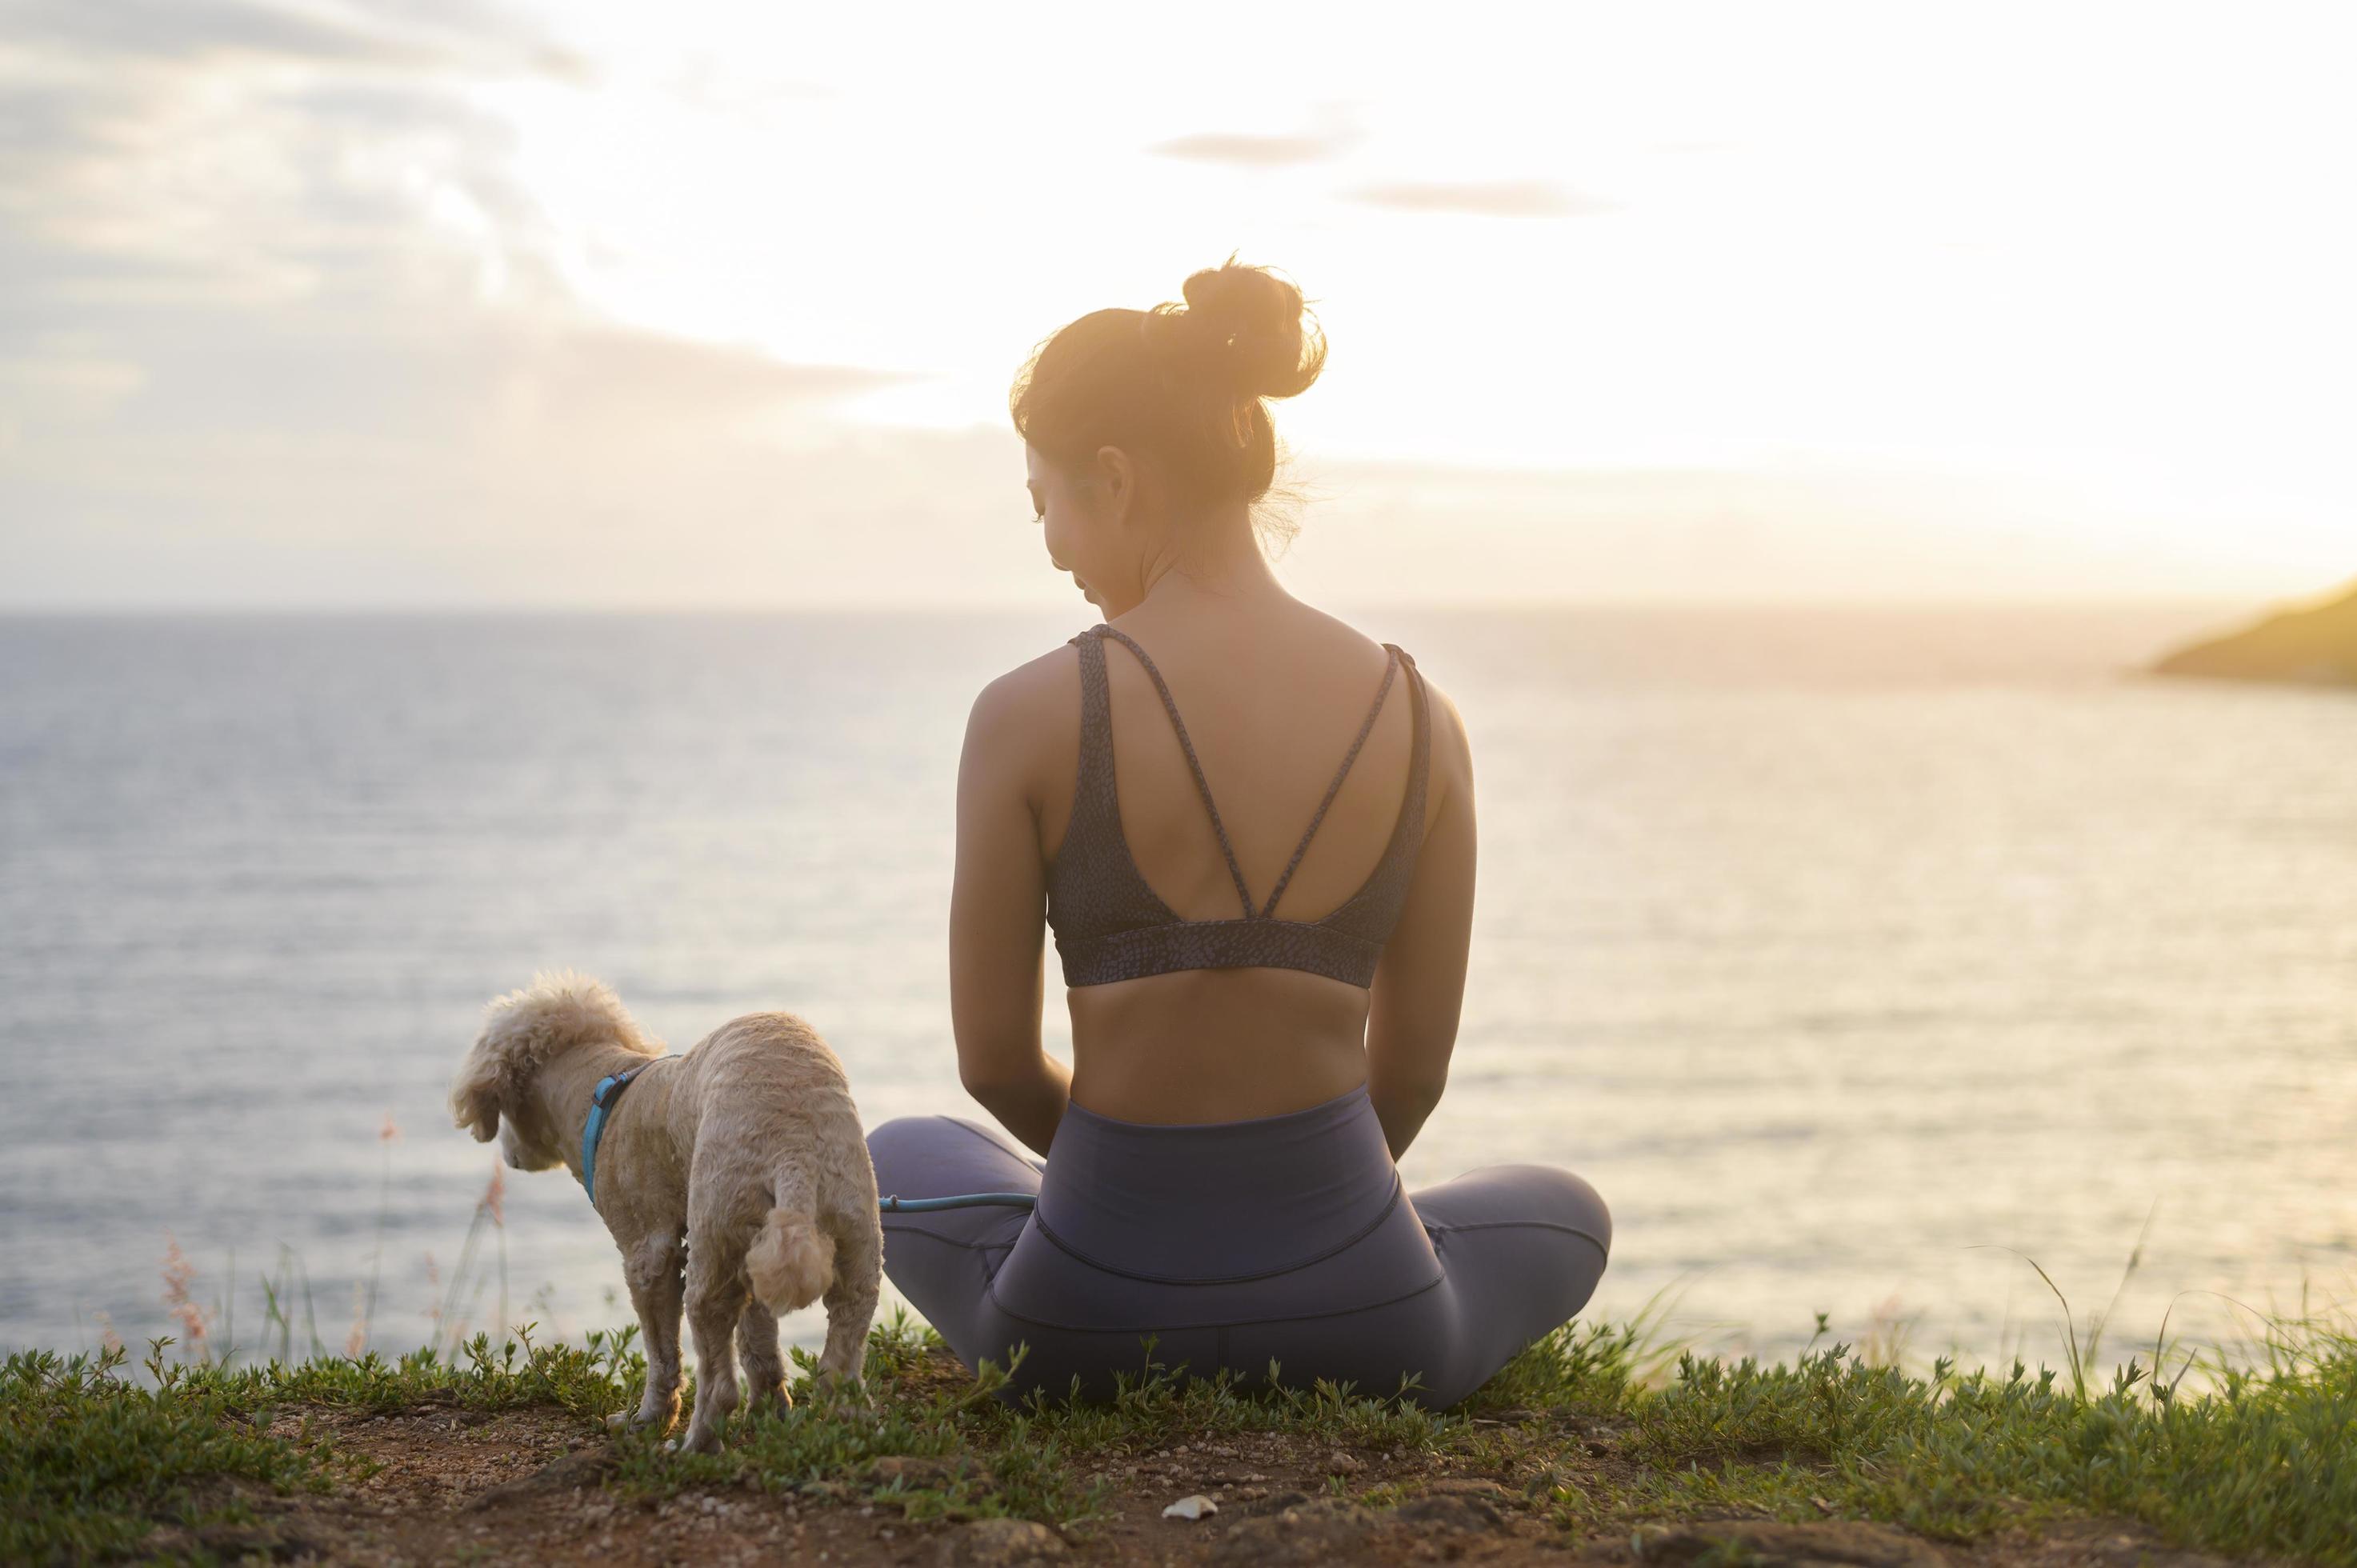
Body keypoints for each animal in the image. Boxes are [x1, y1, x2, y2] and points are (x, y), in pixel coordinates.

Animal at [445, 966, 881, 1452]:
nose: (506, 1153)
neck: (595, 1083)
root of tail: (794, 1153)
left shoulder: (648, 1254)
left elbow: (661, 1353)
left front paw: (648, 1420)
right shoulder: (749, 1256)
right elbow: (760, 1341)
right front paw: (770, 1414)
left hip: (713, 1246)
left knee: (717, 1378)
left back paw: (696, 1445)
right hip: (850, 1235)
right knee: (840, 1364)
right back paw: (853, 1432)